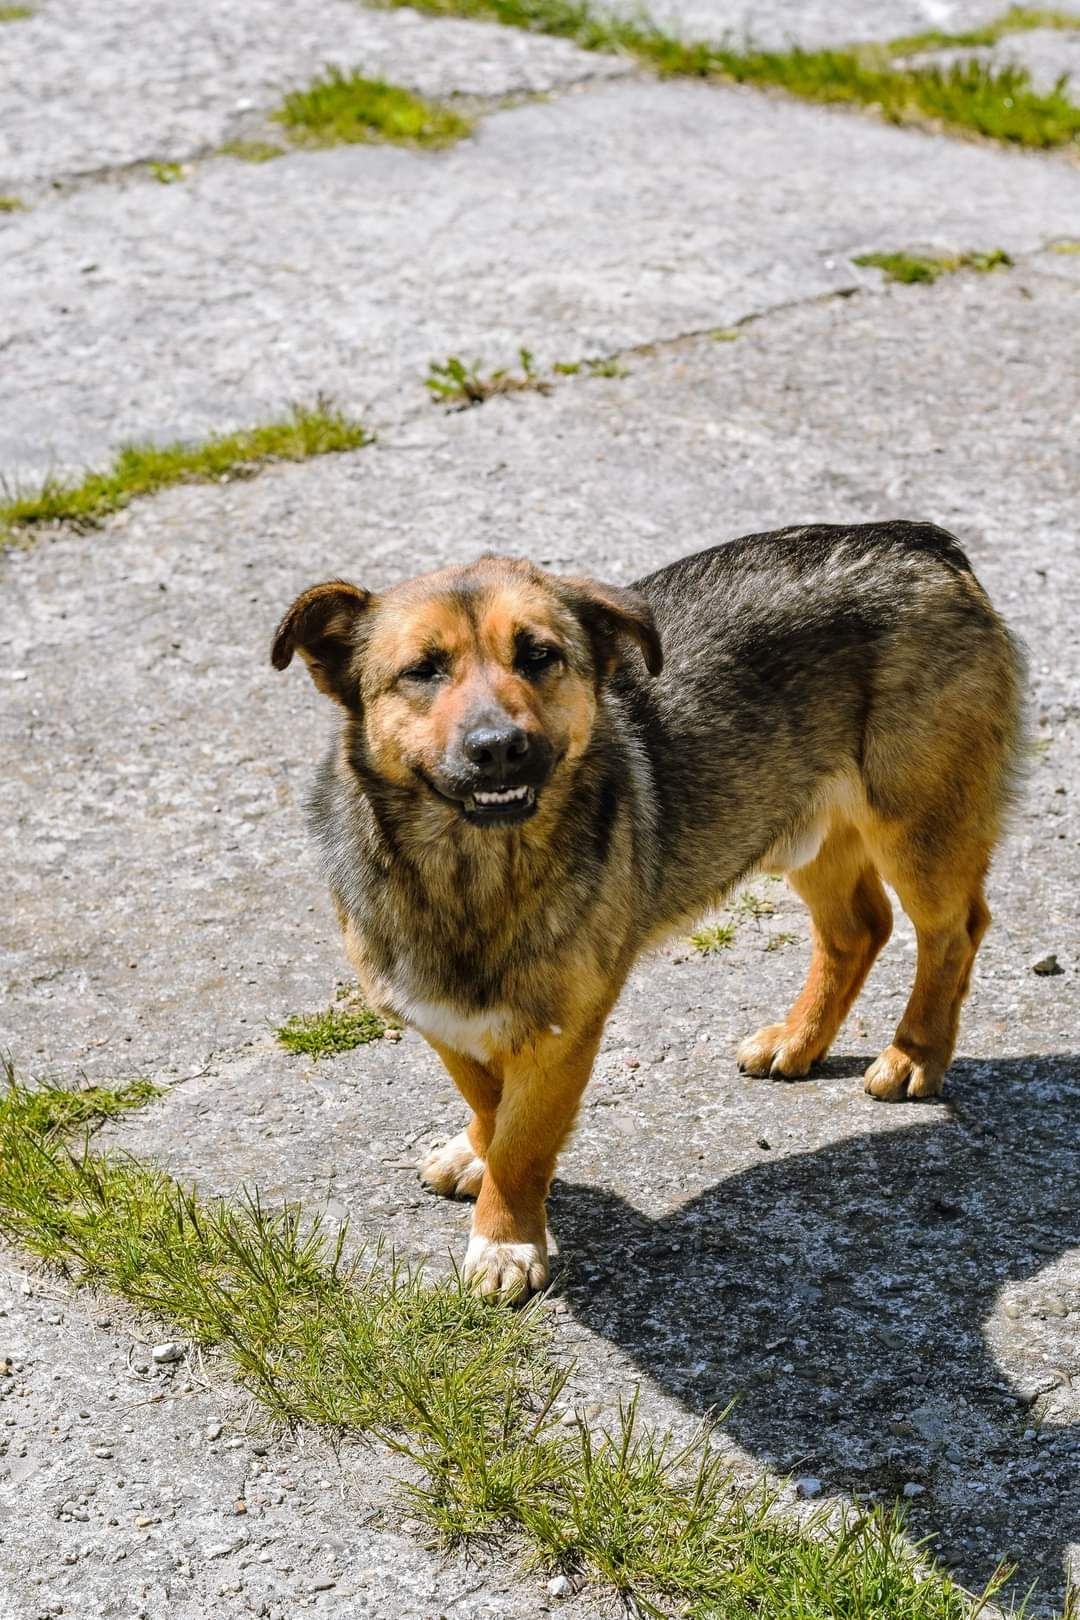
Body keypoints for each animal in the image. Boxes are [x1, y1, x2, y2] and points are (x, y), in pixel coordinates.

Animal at [275, 524, 1029, 1296]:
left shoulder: (563, 1033)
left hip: (917, 827)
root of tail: (919, 539)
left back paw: (915, 1052)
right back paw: (800, 1040)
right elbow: (490, 1103)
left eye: (538, 655)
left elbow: (523, 1137)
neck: (471, 870)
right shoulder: (442, 1017)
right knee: (859, 929)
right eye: (422, 670)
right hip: (791, 821)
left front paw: (506, 1237)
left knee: (953, 931)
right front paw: (480, 1156)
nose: (500, 748)